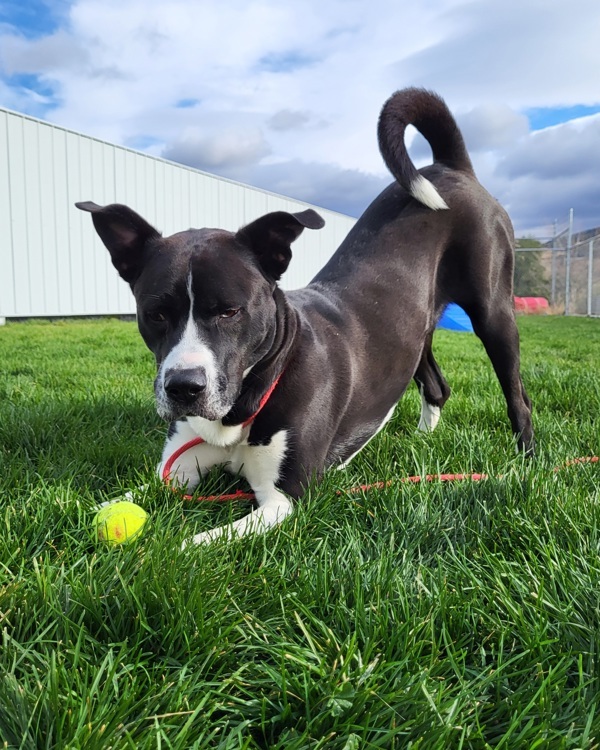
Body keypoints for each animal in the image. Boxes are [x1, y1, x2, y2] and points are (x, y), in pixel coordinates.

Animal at [76, 88, 536, 548]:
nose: (184, 388)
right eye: (155, 313)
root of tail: (450, 167)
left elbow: (191, 544)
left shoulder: (284, 499)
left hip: (494, 314)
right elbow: (114, 499)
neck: (249, 399)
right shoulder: (177, 470)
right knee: (436, 386)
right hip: (413, 333)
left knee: (518, 398)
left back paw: (526, 463)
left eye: (229, 310)